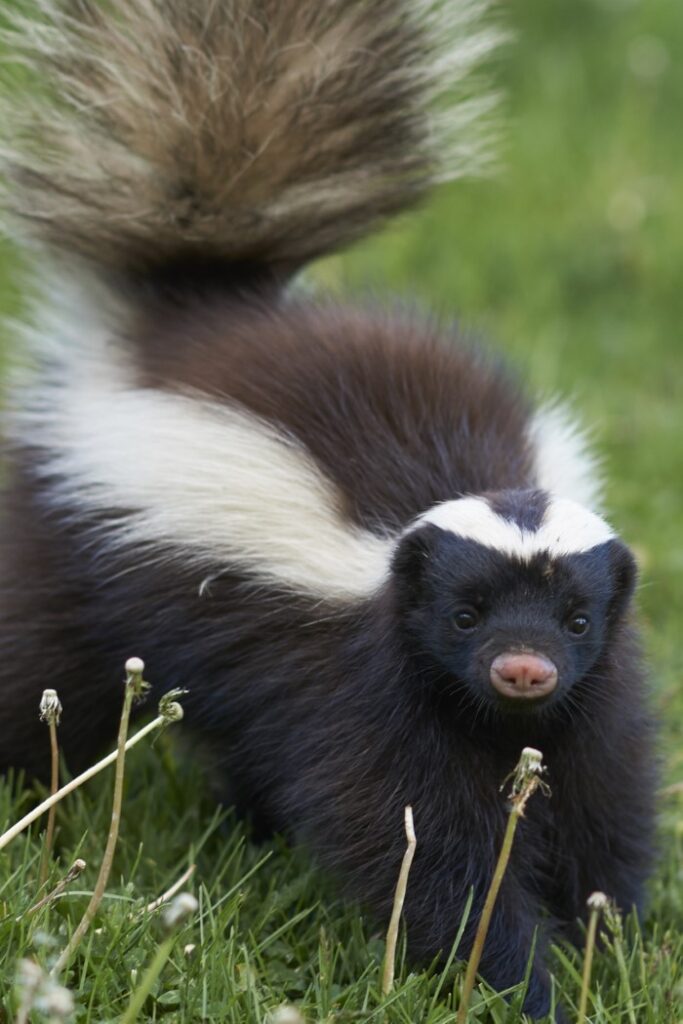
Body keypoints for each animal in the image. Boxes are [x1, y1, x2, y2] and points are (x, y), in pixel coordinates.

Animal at [0, 4, 655, 1019]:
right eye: (463, 613)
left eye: (576, 619)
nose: (523, 669)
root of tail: (193, 319)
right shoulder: (368, 687)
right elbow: (419, 846)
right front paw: (519, 980)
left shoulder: (594, 696)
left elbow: (600, 809)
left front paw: (607, 953)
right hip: (65, 556)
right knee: (36, 682)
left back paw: (250, 832)